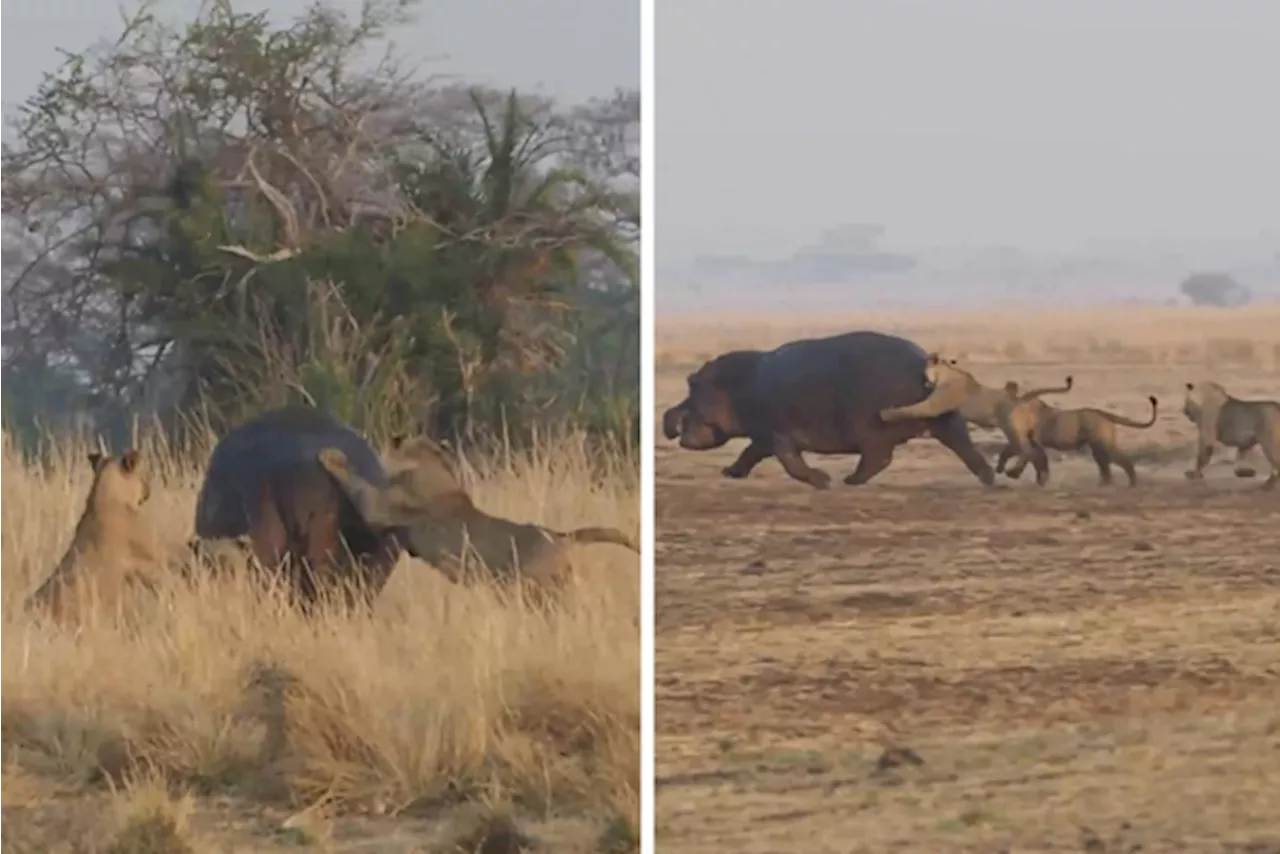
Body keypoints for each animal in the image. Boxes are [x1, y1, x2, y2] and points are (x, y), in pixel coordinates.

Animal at [998, 394, 1162, 486]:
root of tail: (1104, 414)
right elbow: (1012, 453)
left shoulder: (1032, 440)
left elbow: (1028, 457)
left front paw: (1013, 473)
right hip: (1098, 448)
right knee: (1106, 468)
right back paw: (1103, 485)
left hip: (1102, 445)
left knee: (1121, 463)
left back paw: (1130, 484)